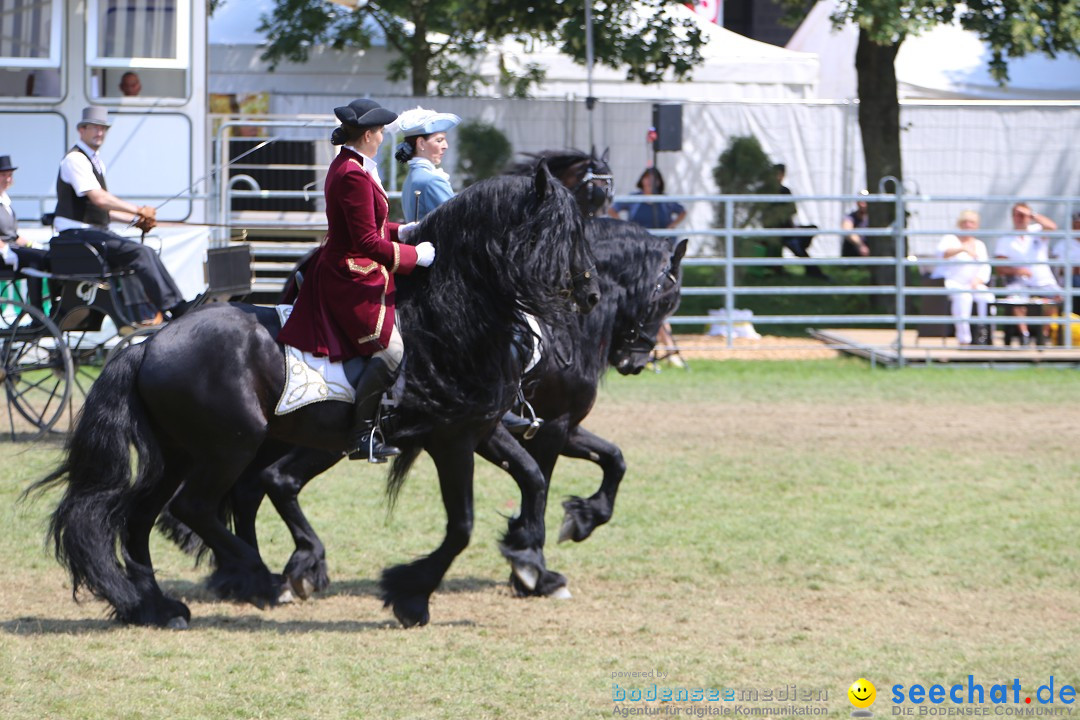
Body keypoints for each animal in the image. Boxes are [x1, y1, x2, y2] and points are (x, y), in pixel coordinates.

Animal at [27, 166, 600, 626]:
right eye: (563, 231)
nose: (591, 293)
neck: (448, 318)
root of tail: (148, 345)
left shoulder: (478, 429)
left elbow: (530, 480)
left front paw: (529, 563)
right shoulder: (453, 438)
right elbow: (462, 525)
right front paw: (411, 595)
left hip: (181, 452)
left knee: (142, 517)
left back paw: (155, 606)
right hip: (231, 446)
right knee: (197, 506)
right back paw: (260, 580)